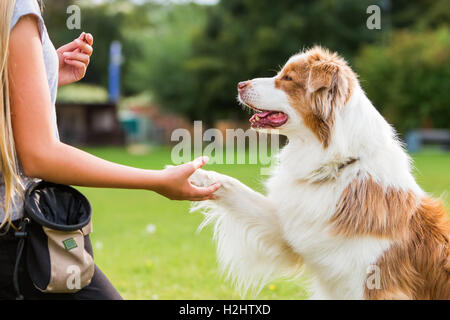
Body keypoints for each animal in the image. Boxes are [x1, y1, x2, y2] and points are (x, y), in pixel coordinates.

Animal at [188, 46, 448, 298]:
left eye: (288, 78)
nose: (240, 84)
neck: (337, 166)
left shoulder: (376, 284)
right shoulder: (292, 228)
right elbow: (233, 186)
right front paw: (192, 174)